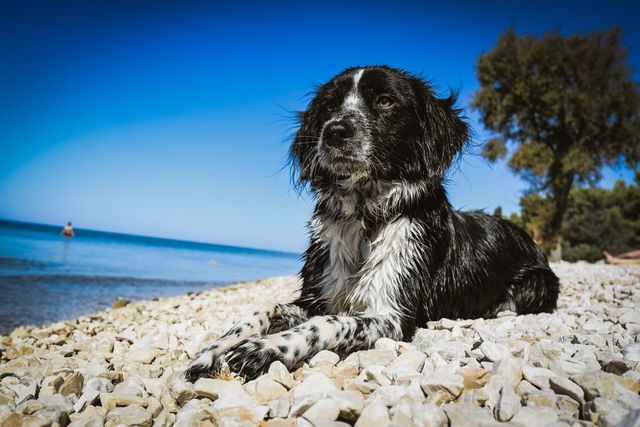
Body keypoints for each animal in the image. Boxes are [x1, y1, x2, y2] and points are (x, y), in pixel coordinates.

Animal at [182, 64, 556, 382]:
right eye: (329, 106)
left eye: (385, 101)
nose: (334, 131)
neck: (364, 217)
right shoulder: (316, 295)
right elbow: (263, 308)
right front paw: (212, 350)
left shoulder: (393, 315)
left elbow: (326, 323)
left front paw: (267, 348)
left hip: (537, 283)